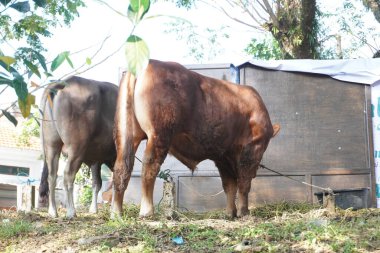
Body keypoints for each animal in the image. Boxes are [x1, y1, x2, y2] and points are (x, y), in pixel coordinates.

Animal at [40, 76, 117, 217]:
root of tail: (65, 82)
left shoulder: (95, 160)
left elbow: (97, 183)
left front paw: (93, 209)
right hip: (76, 148)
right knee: (68, 175)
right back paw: (71, 211)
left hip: (51, 145)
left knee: (52, 176)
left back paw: (53, 211)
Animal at [113, 59, 280, 217]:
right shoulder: (252, 150)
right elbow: (244, 182)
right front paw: (244, 212)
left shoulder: (222, 156)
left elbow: (230, 185)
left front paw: (230, 212)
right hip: (159, 134)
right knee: (149, 166)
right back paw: (147, 211)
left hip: (128, 134)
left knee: (122, 167)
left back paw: (117, 212)